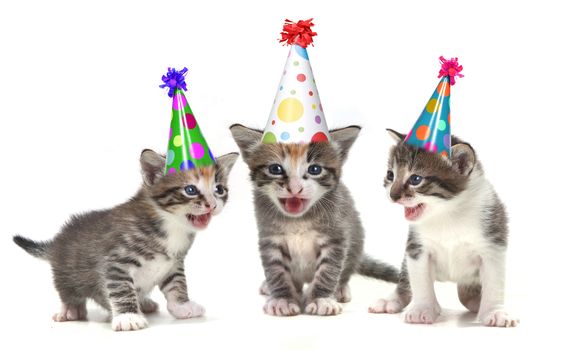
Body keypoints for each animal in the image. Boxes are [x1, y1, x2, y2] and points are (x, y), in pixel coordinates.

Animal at [13, 150, 238, 330]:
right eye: (190, 190)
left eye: (219, 189)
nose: (212, 204)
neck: (170, 224)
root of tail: (57, 241)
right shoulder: (116, 262)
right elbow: (122, 289)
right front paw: (128, 317)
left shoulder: (173, 264)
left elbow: (177, 285)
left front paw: (182, 306)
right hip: (66, 272)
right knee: (67, 291)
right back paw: (71, 309)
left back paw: (144, 302)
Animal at [230, 123, 400, 318]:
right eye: (275, 169)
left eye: (315, 169)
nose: (295, 188)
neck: (298, 220)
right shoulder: (269, 238)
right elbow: (276, 271)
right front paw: (283, 299)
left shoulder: (336, 236)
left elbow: (328, 270)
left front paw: (321, 299)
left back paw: (339, 289)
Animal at [370, 130, 520, 326]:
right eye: (390, 175)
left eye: (415, 179)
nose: (392, 195)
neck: (447, 212)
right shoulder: (416, 248)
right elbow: (420, 281)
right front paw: (422, 309)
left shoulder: (493, 242)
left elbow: (494, 281)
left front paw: (495, 312)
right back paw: (393, 300)